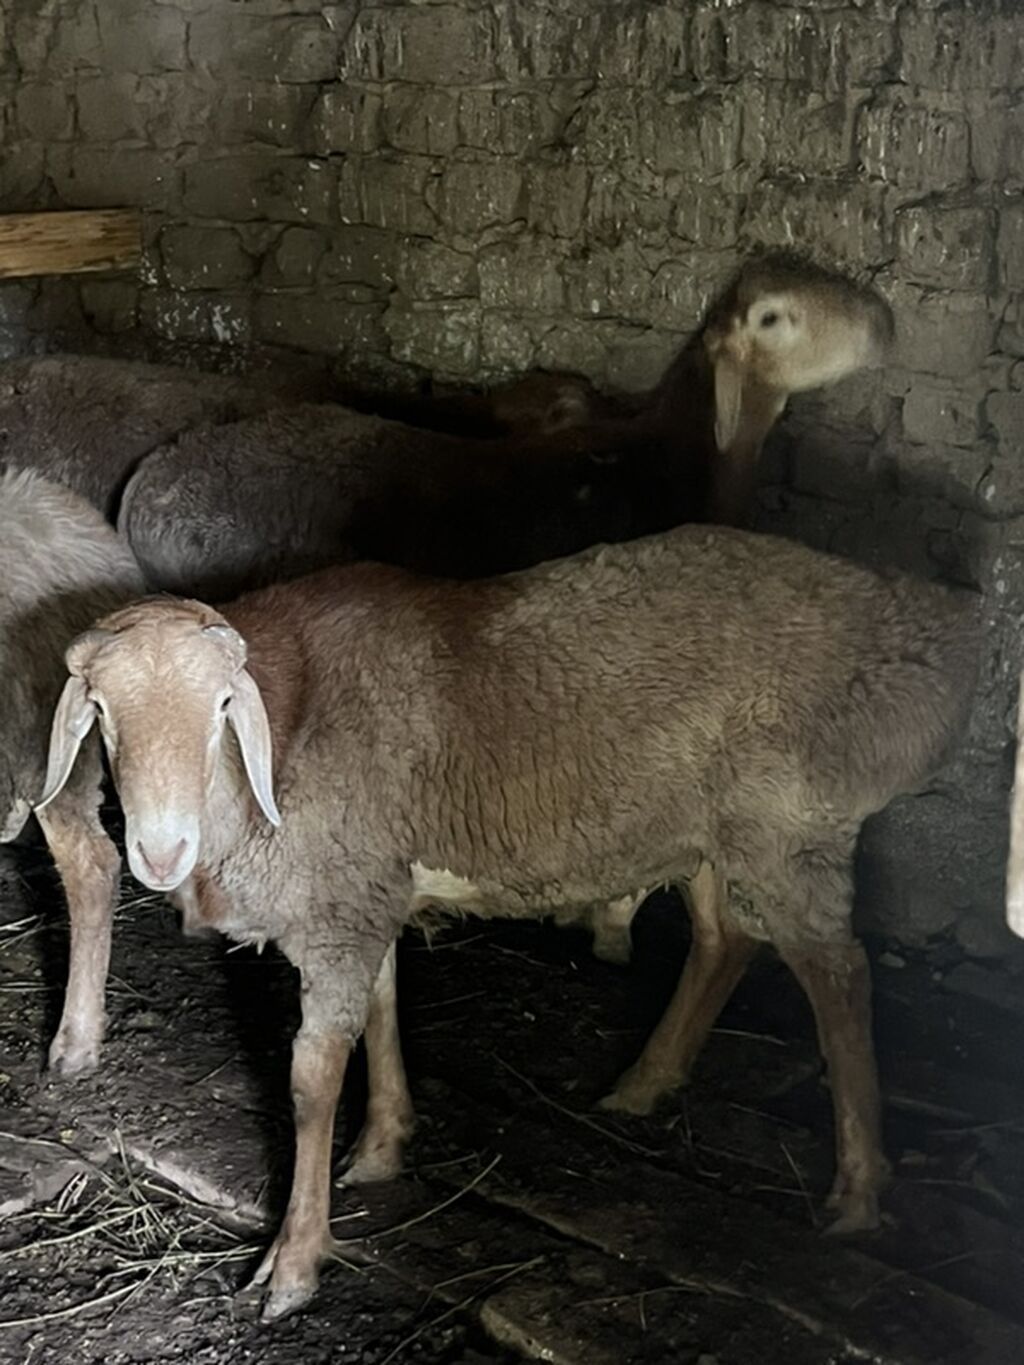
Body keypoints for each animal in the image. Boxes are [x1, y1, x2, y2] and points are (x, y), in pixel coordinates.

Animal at [37, 523, 977, 1319]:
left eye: (223, 710)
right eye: (101, 712)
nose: (161, 850)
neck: (286, 730)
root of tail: (914, 626)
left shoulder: (340, 909)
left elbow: (310, 1084)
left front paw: (295, 1262)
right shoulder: (368, 887)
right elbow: (383, 1009)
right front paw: (384, 1144)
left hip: (791, 825)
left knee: (840, 975)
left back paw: (858, 1187)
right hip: (710, 827)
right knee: (725, 941)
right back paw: (644, 1084)